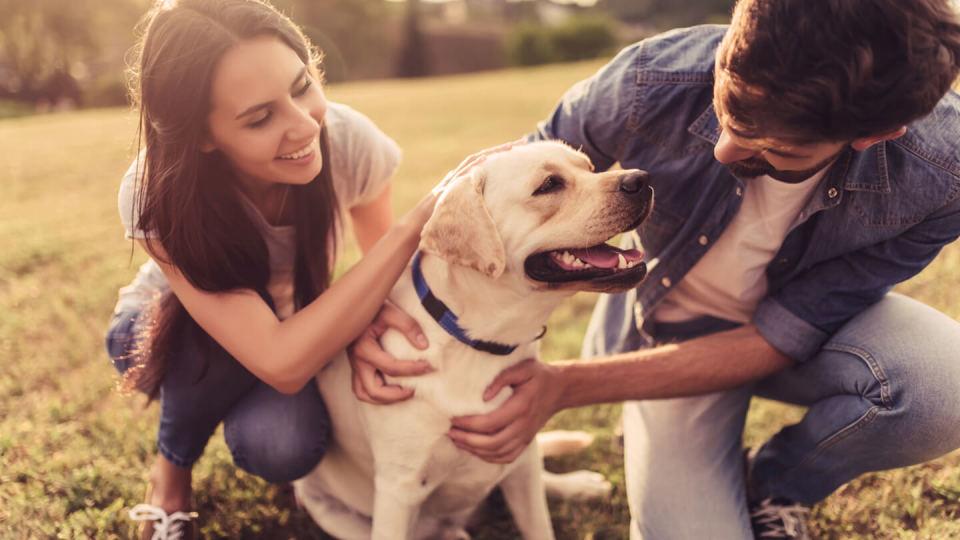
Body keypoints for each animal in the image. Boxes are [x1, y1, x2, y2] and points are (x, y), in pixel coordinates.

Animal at [292, 141, 652, 536]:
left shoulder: (519, 451)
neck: (479, 344)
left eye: (589, 167)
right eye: (549, 185)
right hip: (333, 513)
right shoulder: (397, 490)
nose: (642, 179)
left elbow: (539, 526)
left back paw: (578, 485)